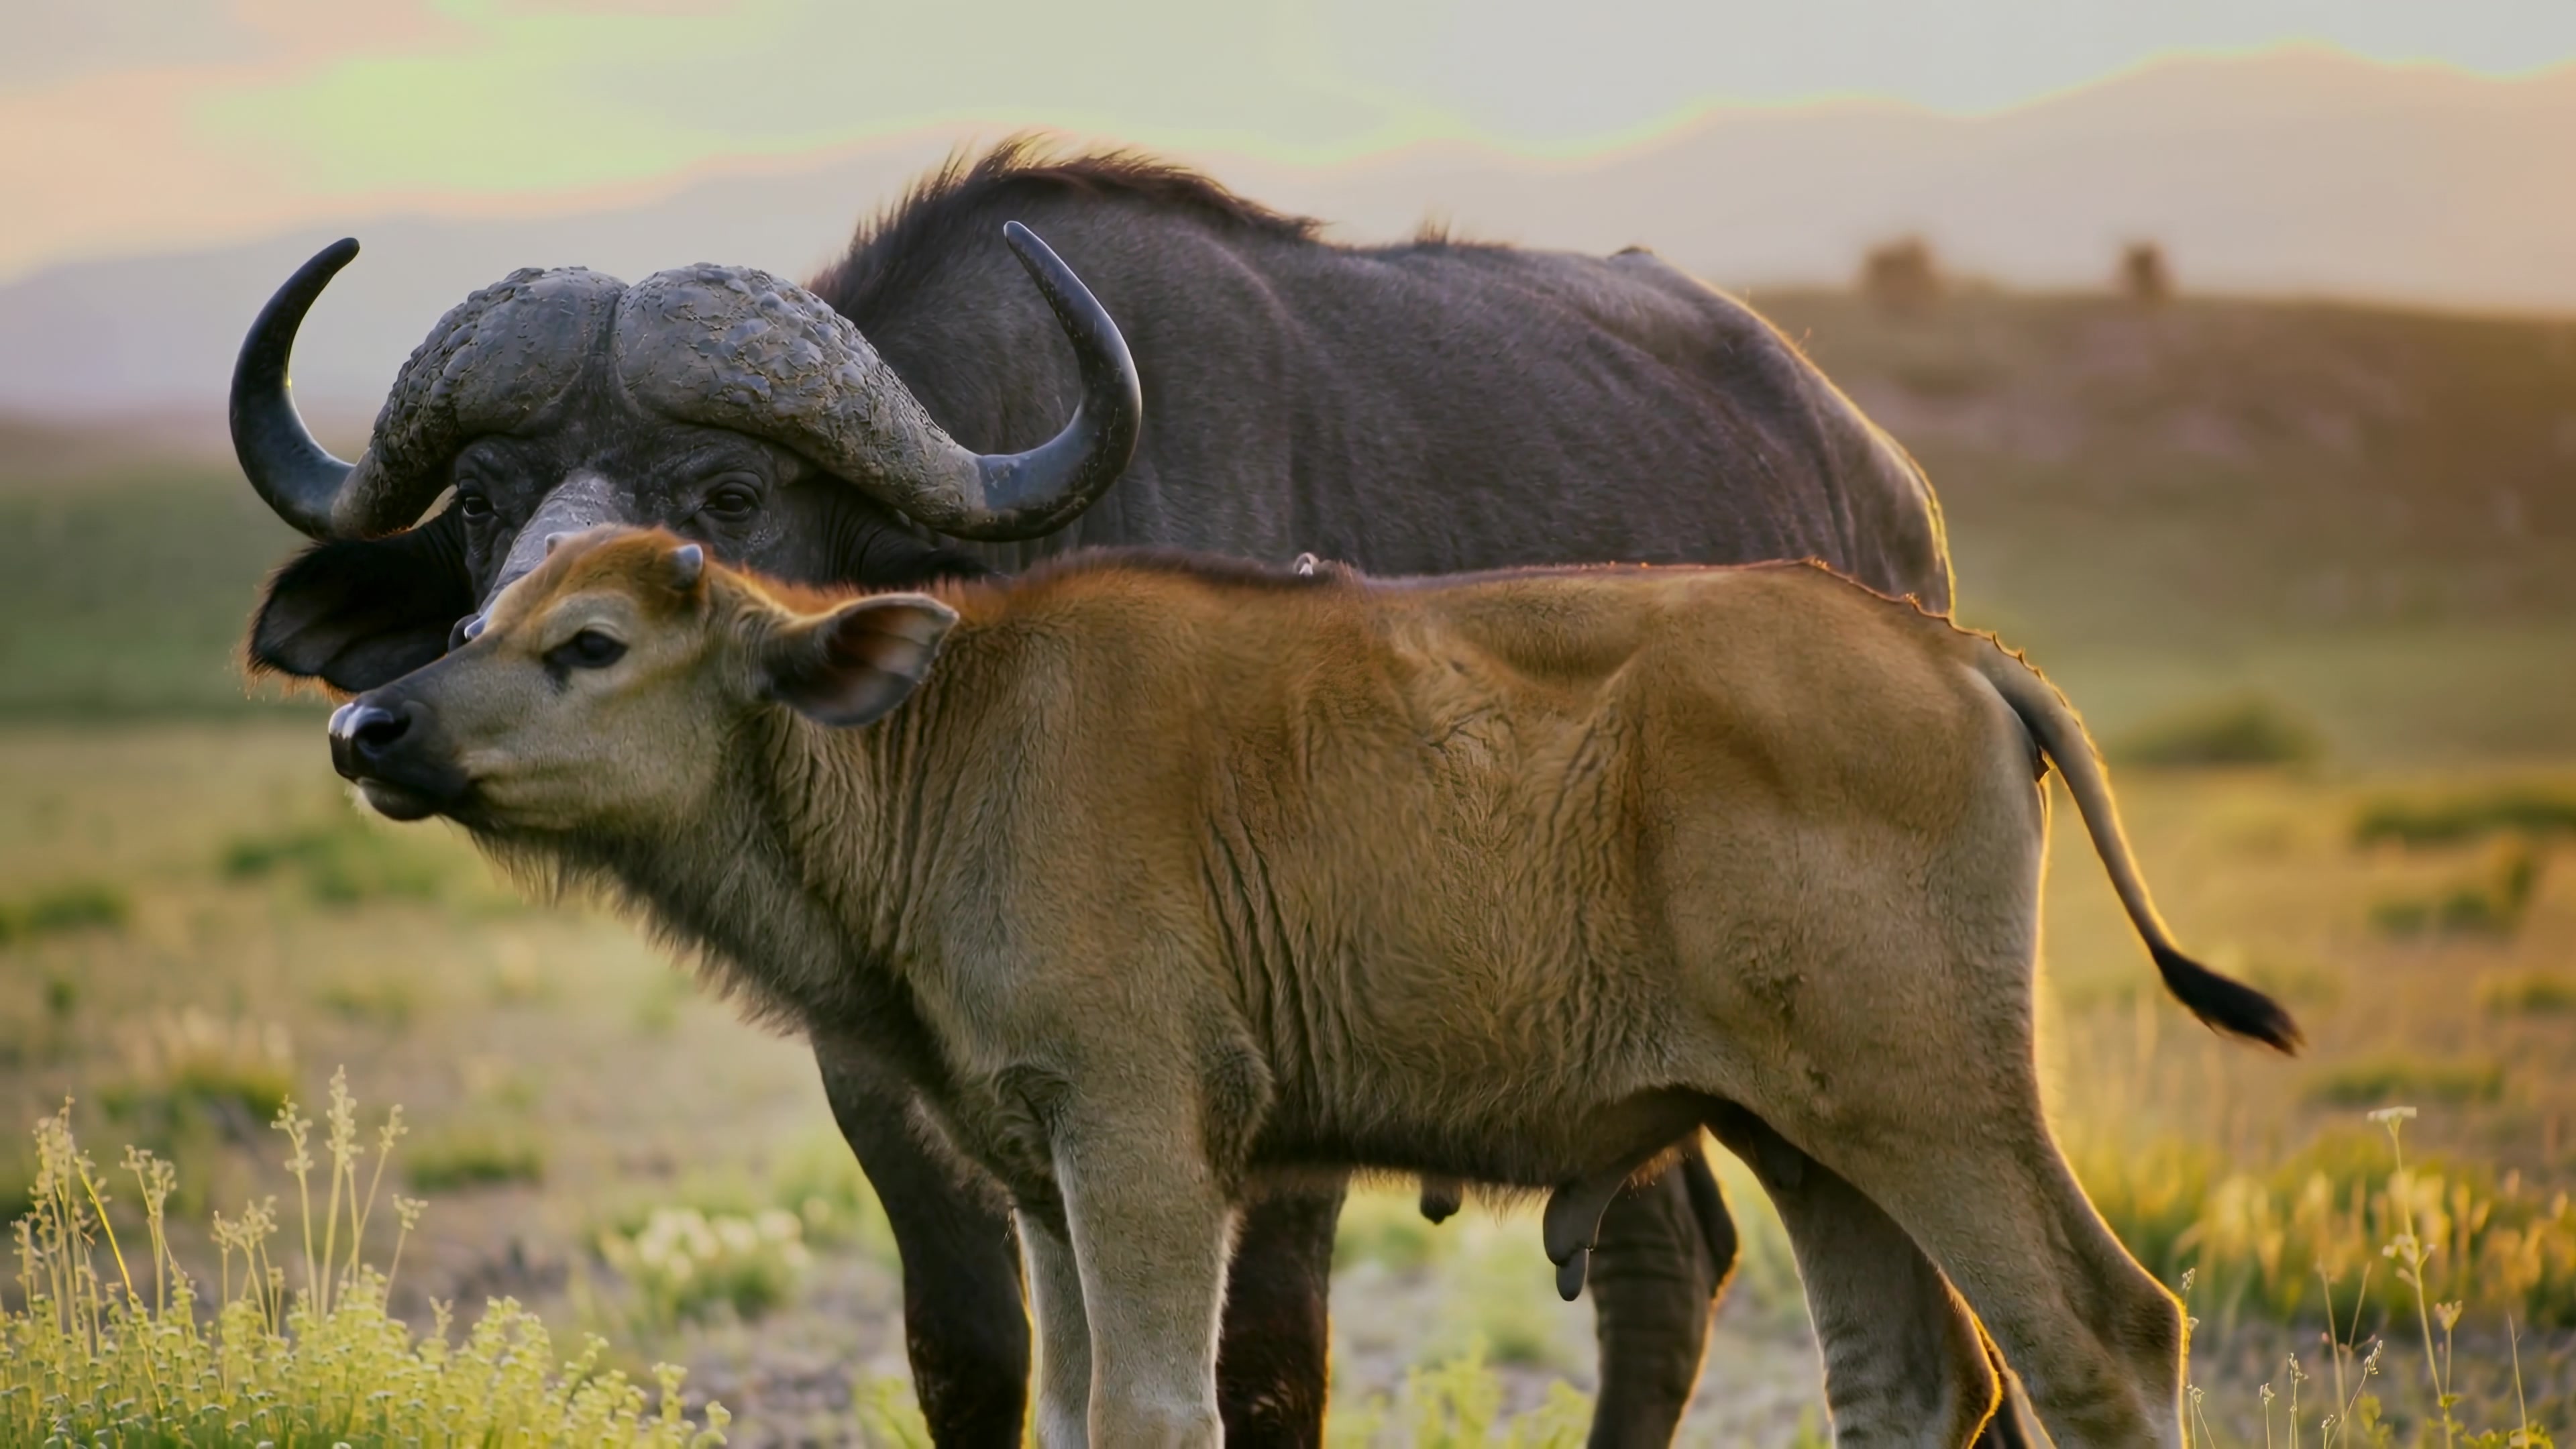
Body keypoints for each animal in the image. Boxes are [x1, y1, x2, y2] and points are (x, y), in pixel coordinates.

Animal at [322, 527, 2299, 1449]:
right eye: (477, 620)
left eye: (590, 644)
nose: (369, 726)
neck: (944, 736)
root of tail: (1952, 649)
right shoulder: (1042, 1179)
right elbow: (1069, 1405)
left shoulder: (1143, 1154)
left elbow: (1151, 1407)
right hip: (1812, 1141)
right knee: (1910, 1374)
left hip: (1936, 1111)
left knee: (2103, 1336)